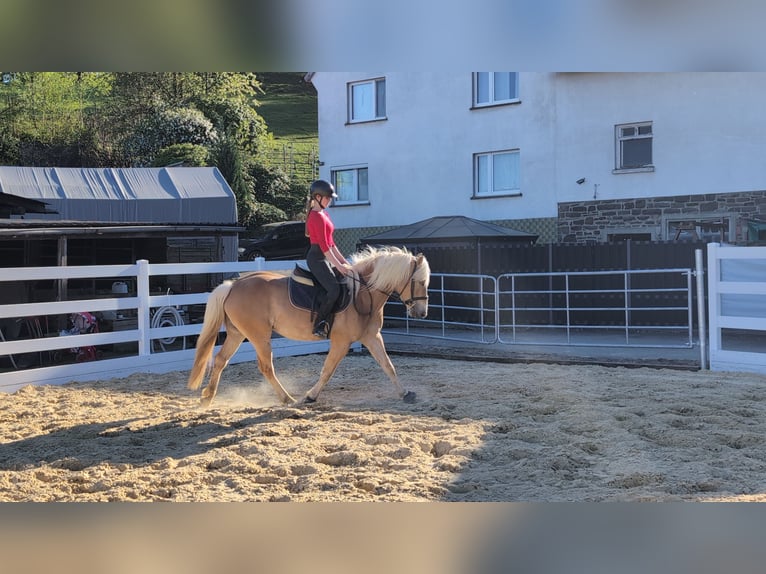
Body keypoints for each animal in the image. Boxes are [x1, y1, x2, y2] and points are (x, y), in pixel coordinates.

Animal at [187, 245, 430, 407]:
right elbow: (327, 370)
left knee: (220, 360)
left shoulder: (372, 337)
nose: (422, 313)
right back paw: (287, 399)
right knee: (266, 367)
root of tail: (233, 285)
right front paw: (311, 396)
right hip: (259, 336)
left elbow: (388, 366)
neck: (362, 293)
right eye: (419, 281)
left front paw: (406, 393)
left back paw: (208, 397)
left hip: (237, 334)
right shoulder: (341, 341)